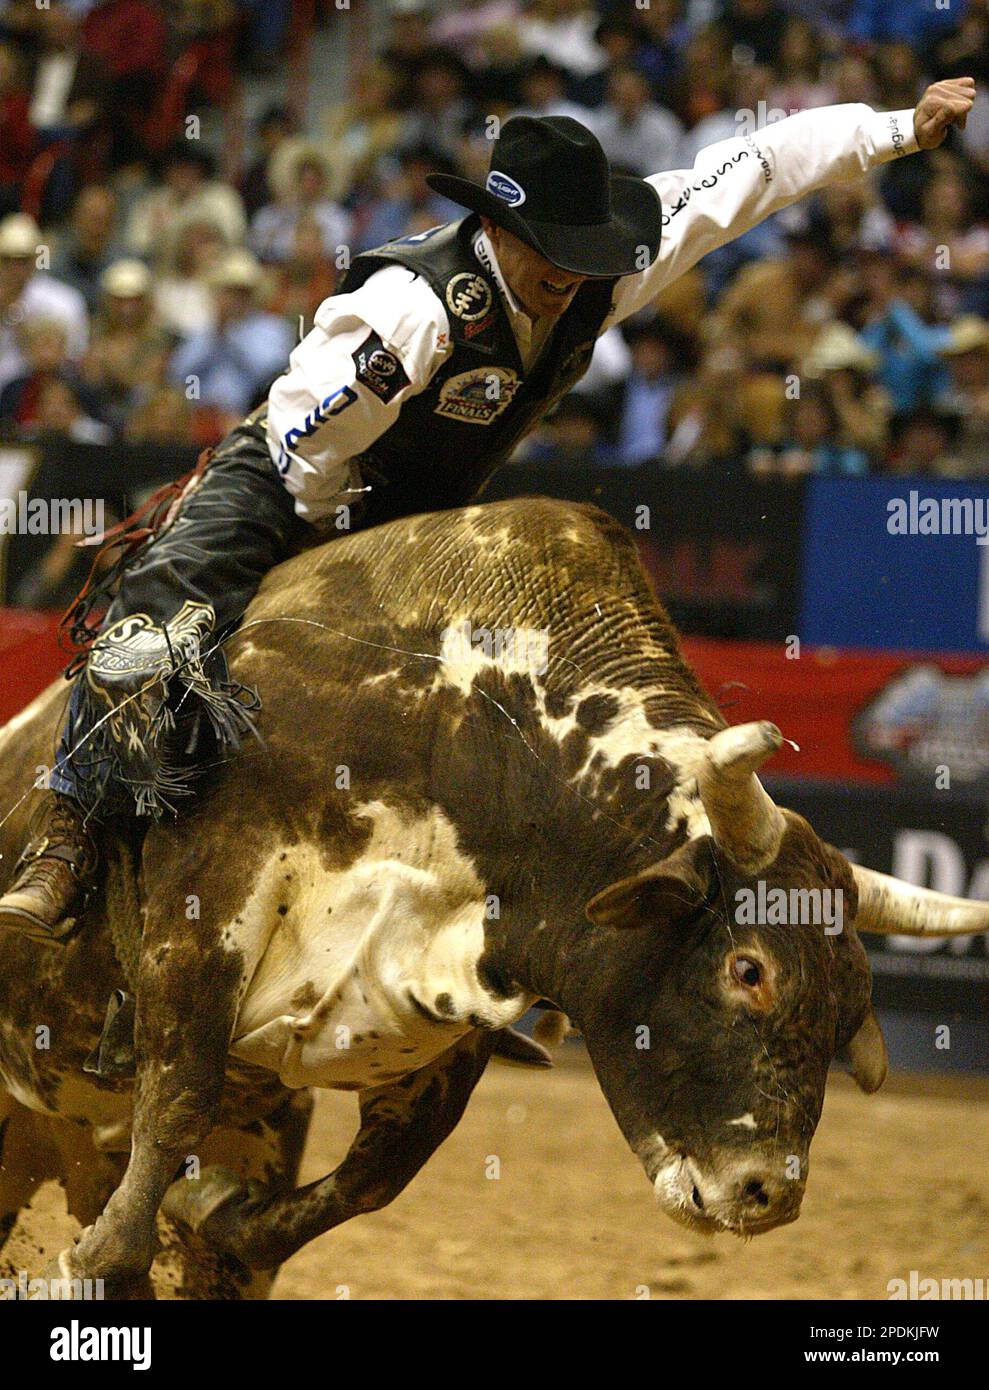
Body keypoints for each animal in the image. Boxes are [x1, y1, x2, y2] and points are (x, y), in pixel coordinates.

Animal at [0, 494, 983, 1295]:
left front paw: (209, 1212)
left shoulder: (447, 1019)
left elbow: (364, 1181)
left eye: (851, 1005)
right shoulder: (211, 905)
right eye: (749, 969)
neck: (464, 730)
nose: (768, 1191)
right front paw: (93, 1263)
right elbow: (179, 1091)